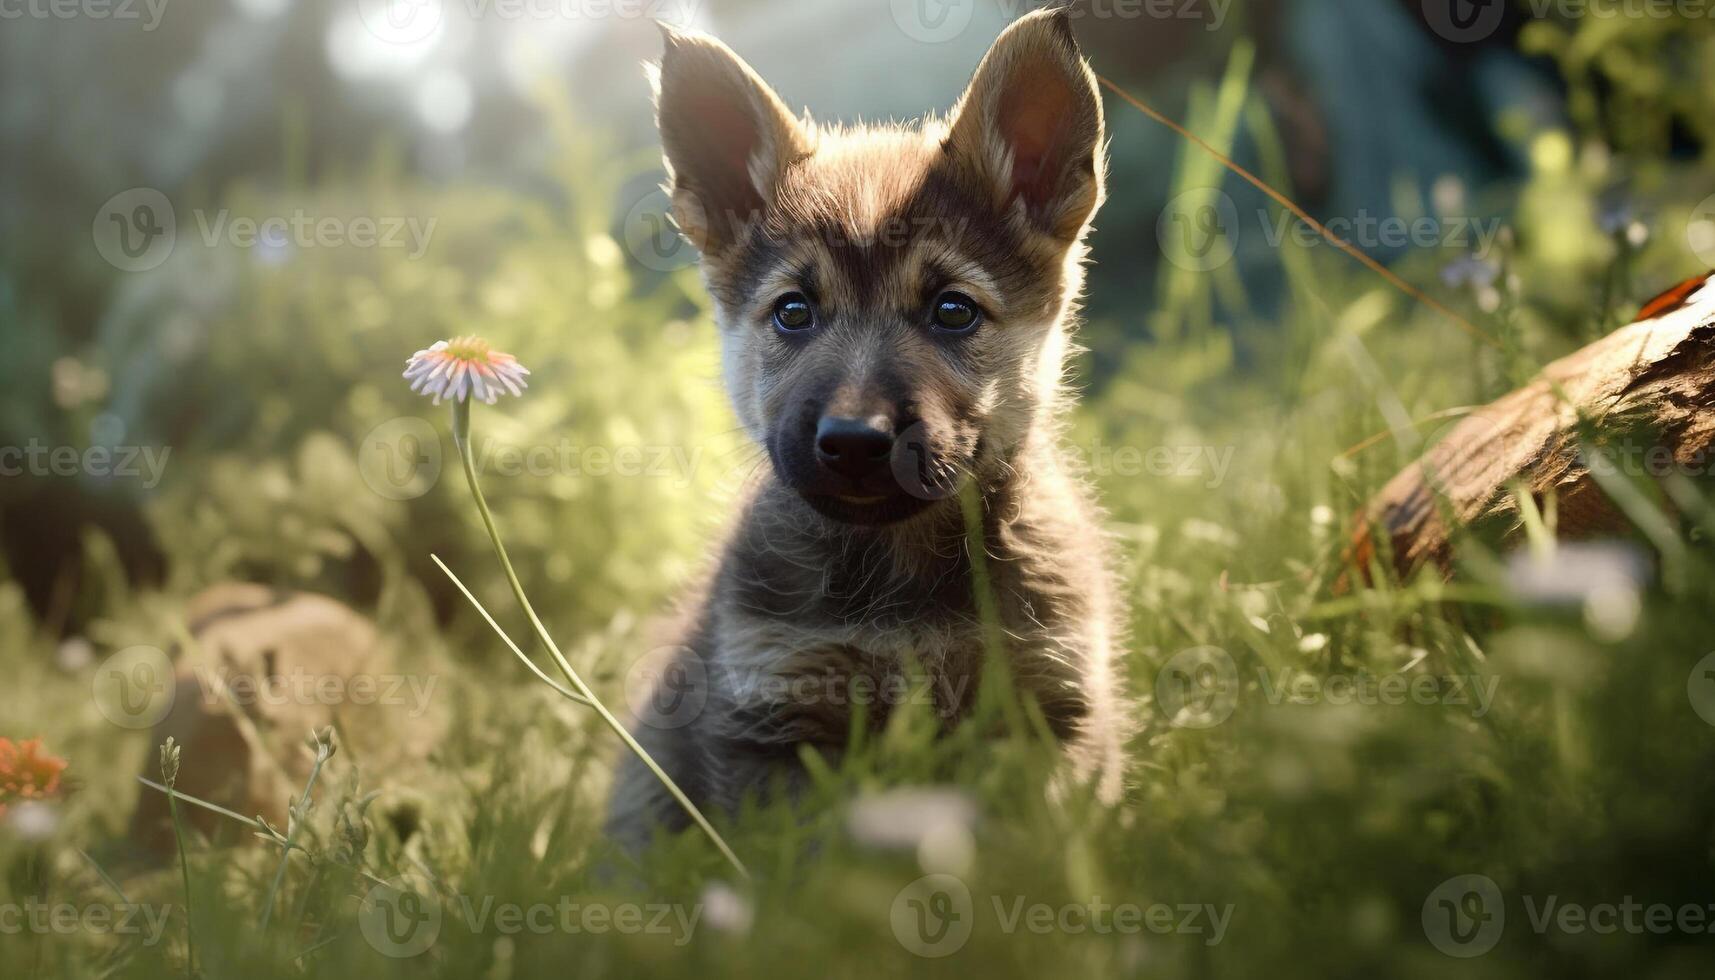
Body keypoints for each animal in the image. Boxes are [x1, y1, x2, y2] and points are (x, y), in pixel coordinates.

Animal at [610, 9, 1131, 851]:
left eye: (952, 310)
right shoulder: (775, 716)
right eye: (793, 311)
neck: (898, 573)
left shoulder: (1050, 706)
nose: (854, 440)